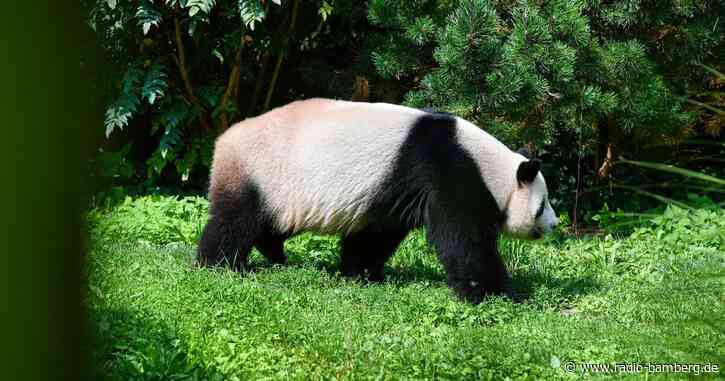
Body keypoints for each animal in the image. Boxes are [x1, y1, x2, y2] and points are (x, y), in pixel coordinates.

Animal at [195, 98, 556, 302]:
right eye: (542, 206)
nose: (554, 224)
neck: (489, 166)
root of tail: (223, 140)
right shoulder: (447, 171)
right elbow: (463, 240)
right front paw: (499, 294)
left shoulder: (393, 188)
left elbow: (377, 233)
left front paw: (361, 273)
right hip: (260, 171)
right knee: (234, 221)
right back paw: (218, 265)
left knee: (270, 224)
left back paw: (274, 254)